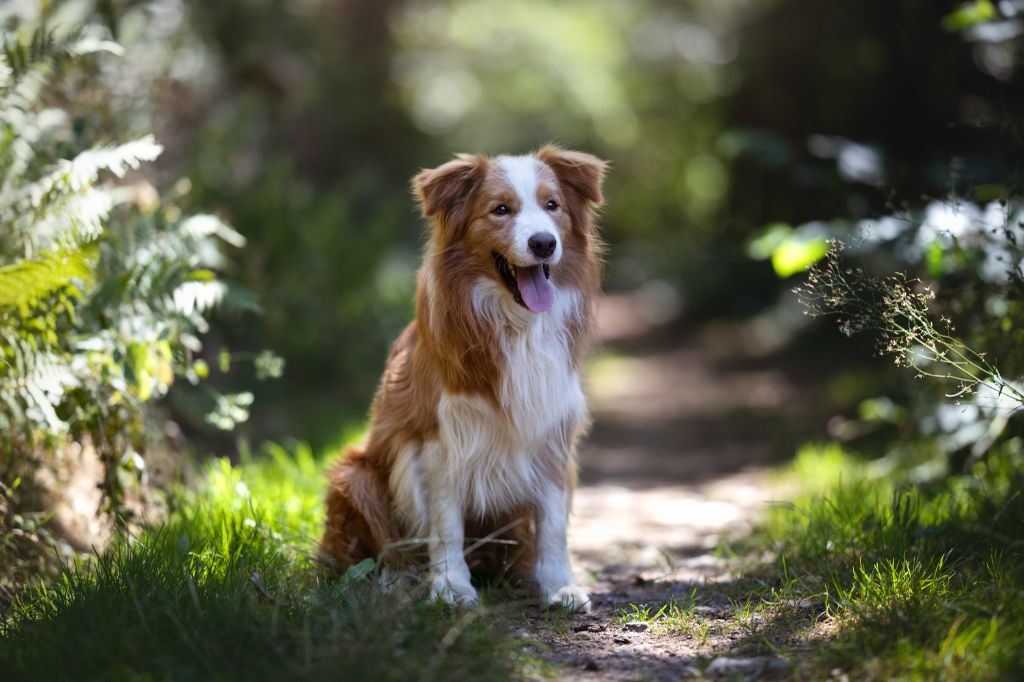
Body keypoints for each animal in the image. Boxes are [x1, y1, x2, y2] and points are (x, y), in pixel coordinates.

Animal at [319, 144, 606, 610]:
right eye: (501, 209)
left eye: (552, 206)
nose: (544, 243)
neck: (515, 324)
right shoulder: (439, 439)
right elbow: (446, 523)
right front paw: (451, 586)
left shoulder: (550, 433)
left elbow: (552, 524)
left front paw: (560, 586)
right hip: (356, 475)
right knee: (377, 552)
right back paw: (396, 581)